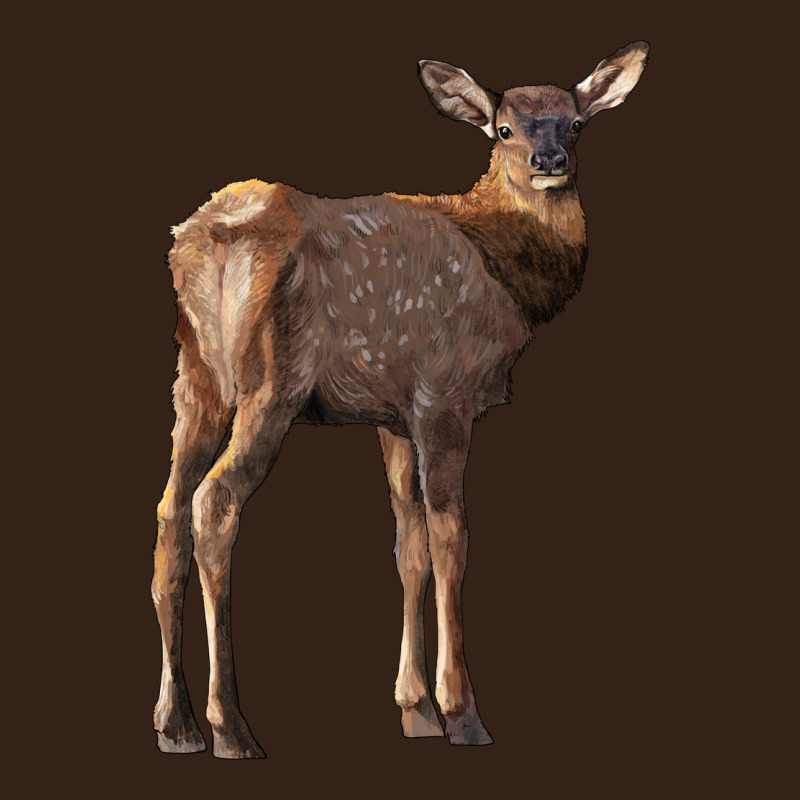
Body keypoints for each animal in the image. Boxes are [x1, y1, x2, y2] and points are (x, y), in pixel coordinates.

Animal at [152, 42, 649, 759]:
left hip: (196, 376)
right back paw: (231, 728)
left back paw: (176, 724)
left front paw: (415, 710)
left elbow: (408, 542)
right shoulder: (445, 393)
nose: (548, 162)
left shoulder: (390, 412)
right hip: (270, 381)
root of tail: (209, 238)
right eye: (503, 129)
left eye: (576, 124)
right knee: (213, 502)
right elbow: (451, 537)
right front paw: (463, 714)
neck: (507, 274)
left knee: (169, 509)